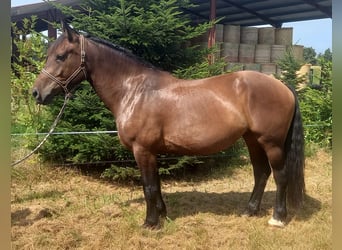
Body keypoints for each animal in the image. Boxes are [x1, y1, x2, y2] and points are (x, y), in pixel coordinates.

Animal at [32, 23, 304, 229]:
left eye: (60, 56)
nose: (36, 93)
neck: (135, 90)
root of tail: (282, 85)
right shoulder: (152, 152)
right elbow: (157, 185)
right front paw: (163, 215)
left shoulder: (142, 150)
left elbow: (149, 186)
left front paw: (150, 223)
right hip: (252, 140)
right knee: (261, 173)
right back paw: (250, 210)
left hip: (271, 143)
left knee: (280, 176)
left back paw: (278, 218)